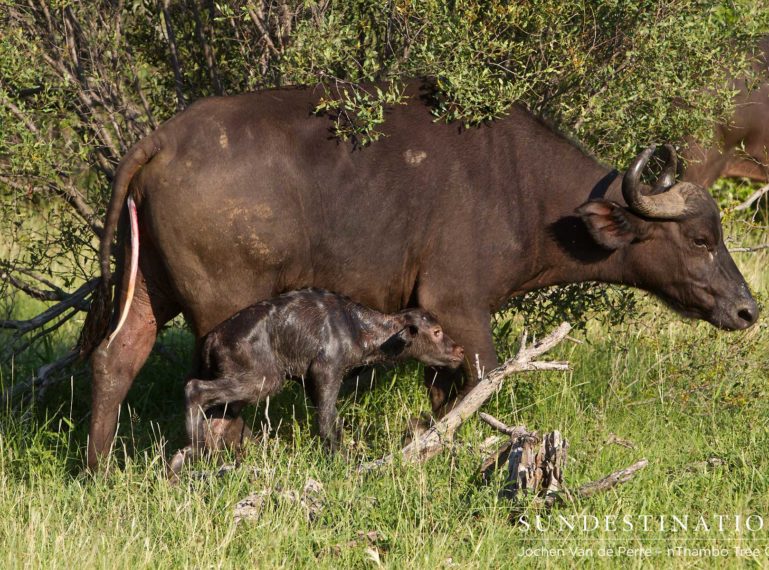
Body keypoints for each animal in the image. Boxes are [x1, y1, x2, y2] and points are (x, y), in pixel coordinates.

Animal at [171, 288, 464, 470]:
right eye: (436, 331)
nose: (459, 351)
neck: (358, 330)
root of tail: (211, 340)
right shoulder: (326, 371)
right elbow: (325, 423)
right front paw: (339, 462)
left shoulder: (310, 381)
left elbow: (332, 421)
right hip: (262, 379)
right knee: (194, 389)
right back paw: (196, 451)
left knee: (215, 421)